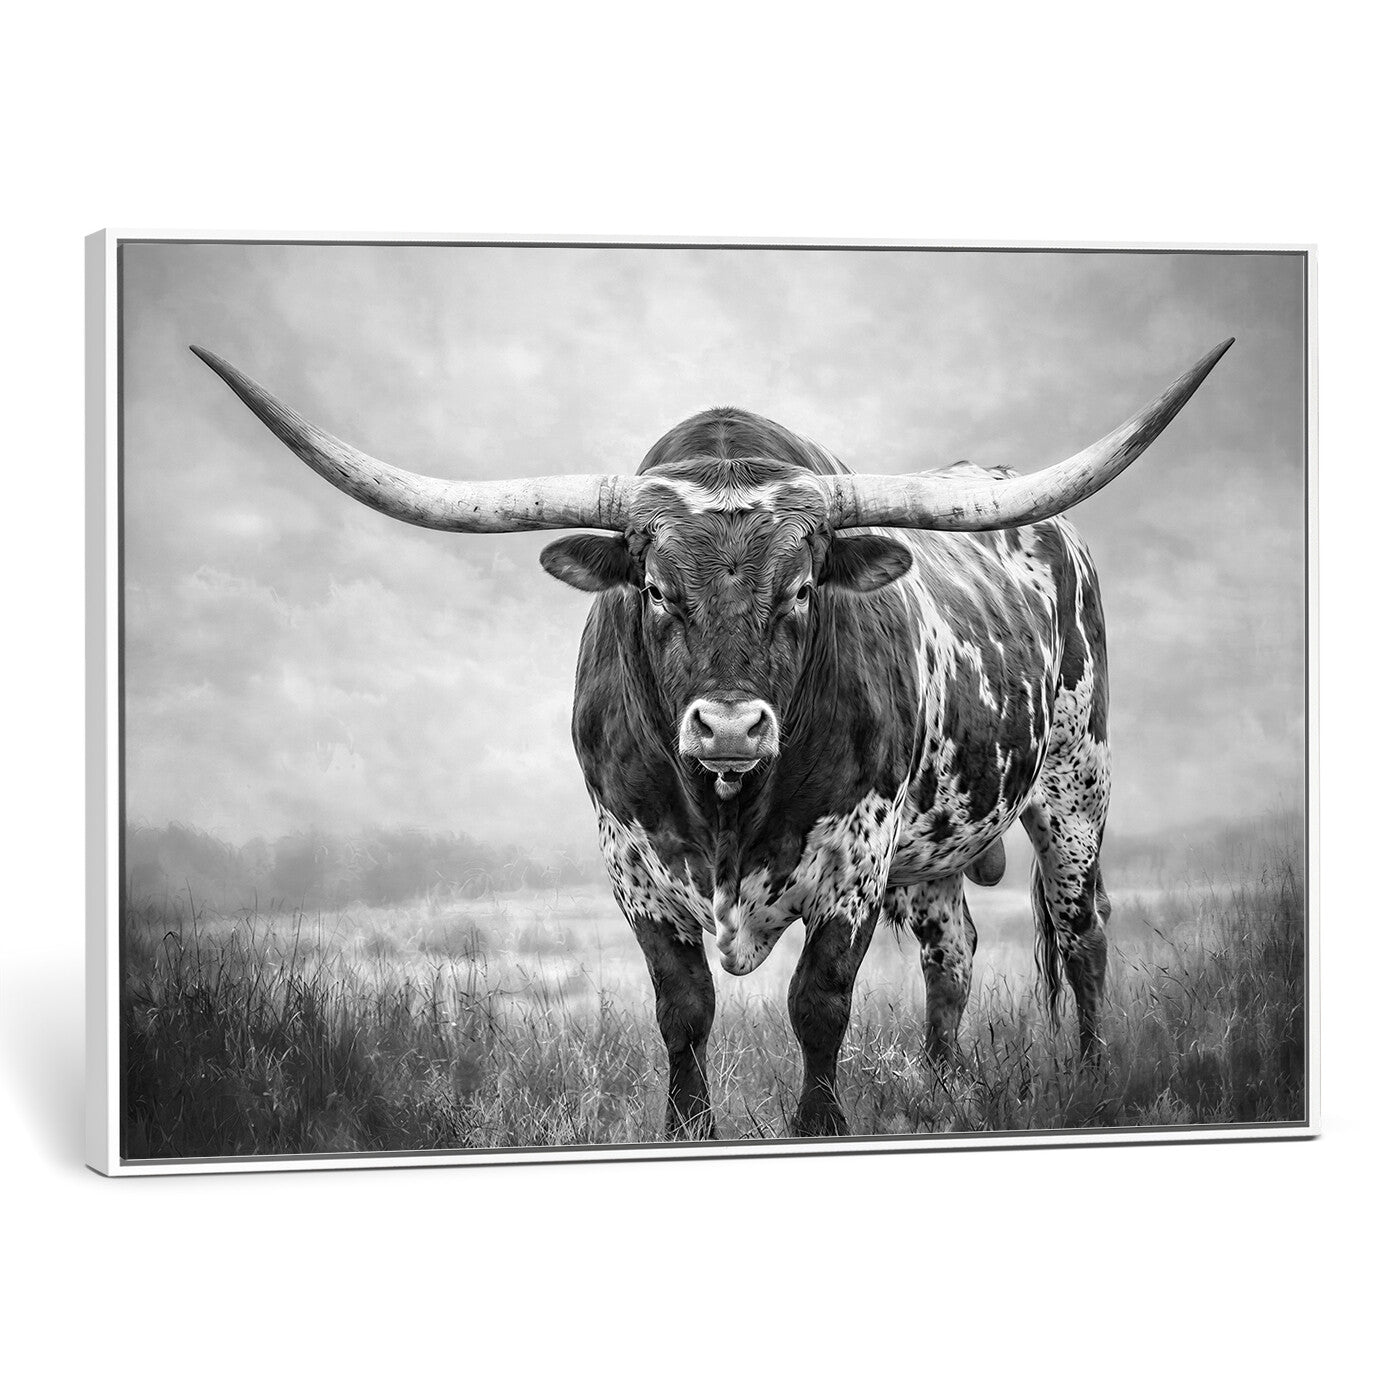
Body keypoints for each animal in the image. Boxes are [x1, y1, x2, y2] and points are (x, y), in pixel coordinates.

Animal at [193, 337, 1232, 1138]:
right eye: (655, 590)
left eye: (803, 588)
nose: (730, 724)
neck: (729, 807)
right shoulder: (633, 866)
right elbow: (683, 1012)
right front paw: (686, 1129)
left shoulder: (855, 863)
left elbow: (819, 1004)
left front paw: (820, 1125)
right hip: (935, 851)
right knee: (955, 954)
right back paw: (944, 1091)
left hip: (1075, 789)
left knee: (1081, 930)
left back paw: (1091, 1079)